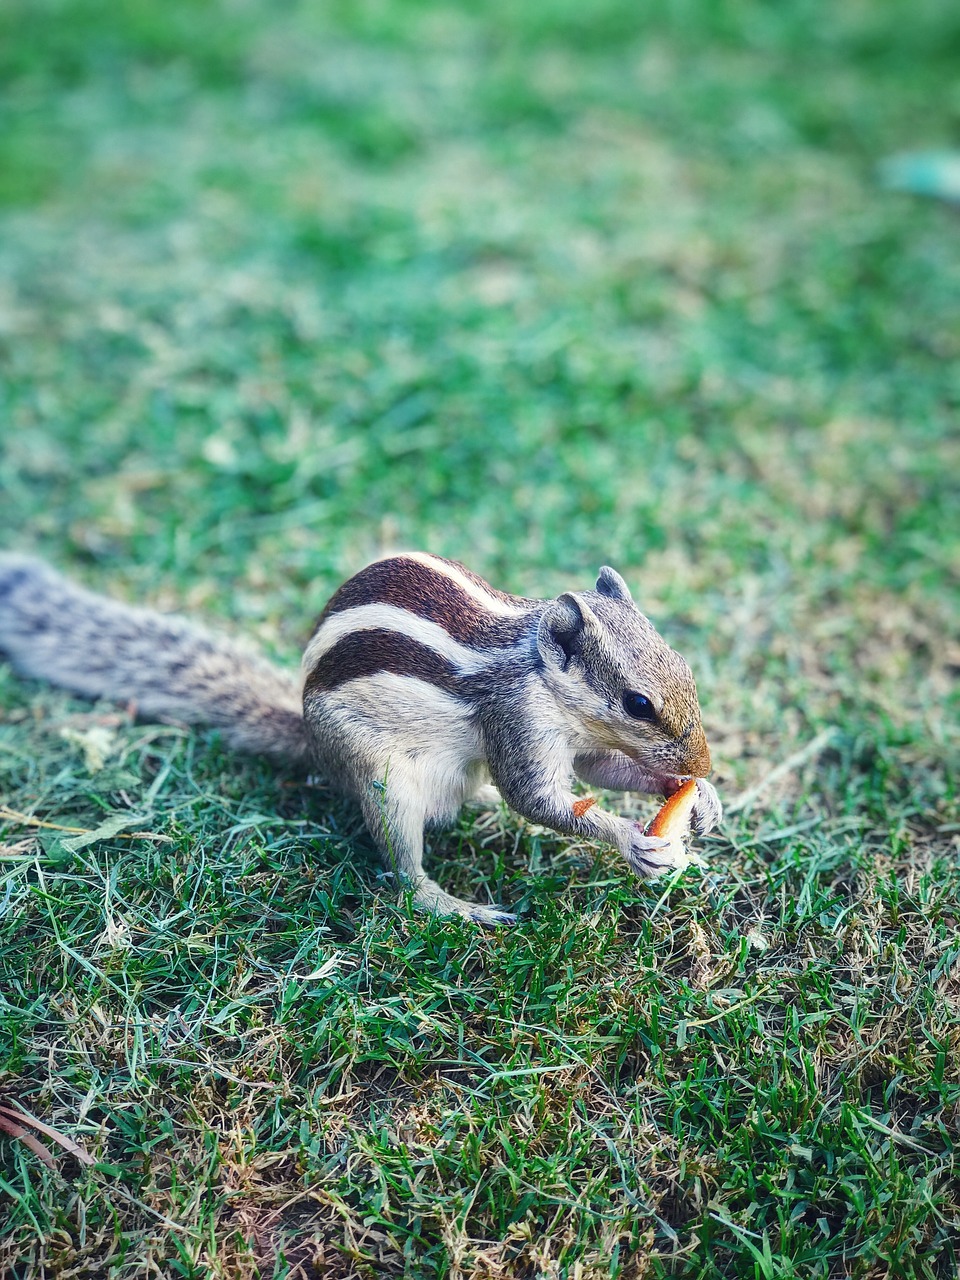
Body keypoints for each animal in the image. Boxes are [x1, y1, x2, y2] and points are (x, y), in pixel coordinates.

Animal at [0, 550, 721, 921]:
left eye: (685, 666)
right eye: (637, 703)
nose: (705, 759)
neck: (537, 672)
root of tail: (310, 738)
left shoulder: (580, 740)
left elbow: (599, 772)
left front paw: (699, 798)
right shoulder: (515, 720)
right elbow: (540, 800)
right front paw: (634, 840)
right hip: (382, 781)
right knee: (406, 875)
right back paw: (456, 905)